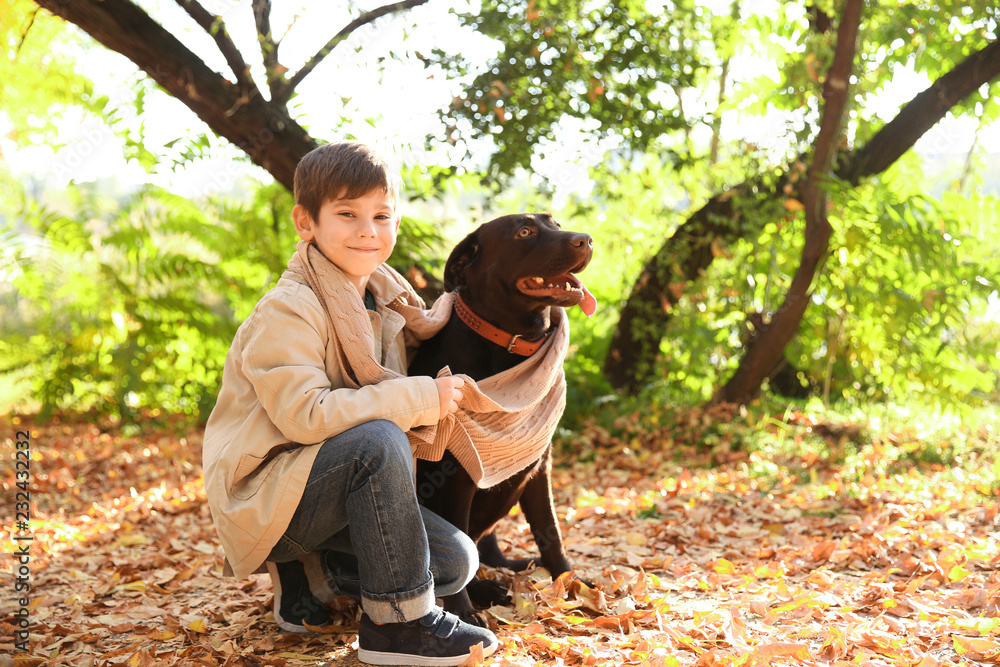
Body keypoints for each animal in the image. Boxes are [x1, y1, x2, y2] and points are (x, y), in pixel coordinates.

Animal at [408, 214, 592, 628]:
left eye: (556, 222)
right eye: (524, 232)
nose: (586, 239)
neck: (510, 343)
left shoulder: (539, 466)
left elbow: (551, 533)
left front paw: (572, 584)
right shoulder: (456, 478)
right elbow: (459, 547)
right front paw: (463, 612)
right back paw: (486, 590)